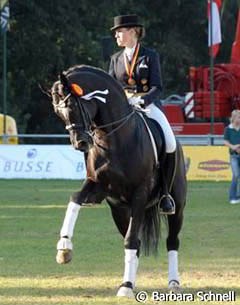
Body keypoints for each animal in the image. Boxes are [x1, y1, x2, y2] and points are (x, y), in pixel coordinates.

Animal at [49, 64, 187, 296]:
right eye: (58, 113)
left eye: (72, 106)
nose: (80, 143)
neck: (113, 138)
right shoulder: (98, 186)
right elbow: (75, 198)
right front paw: (64, 247)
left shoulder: (140, 193)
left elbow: (131, 240)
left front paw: (126, 288)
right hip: (120, 211)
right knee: (136, 242)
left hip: (176, 206)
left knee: (172, 241)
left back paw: (173, 283)